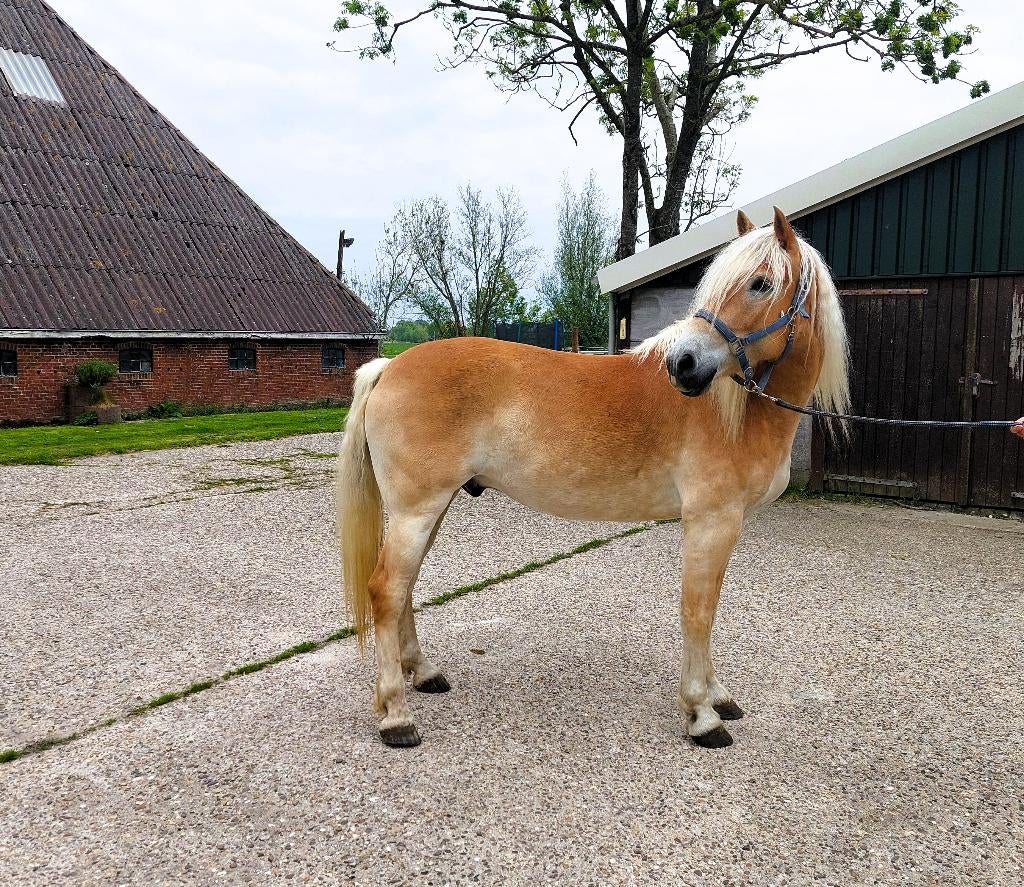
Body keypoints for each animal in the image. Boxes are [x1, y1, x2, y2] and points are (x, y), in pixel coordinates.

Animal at [336, 206, 850, 750]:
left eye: (760, 283)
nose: (683, 365)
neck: (735, 411)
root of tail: (390, 366)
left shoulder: (725, 525)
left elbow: (708, 608)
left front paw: (718, 697)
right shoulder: (711, 521)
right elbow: (698, 610)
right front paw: (702, 714)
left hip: (430, 509)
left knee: (405, 587)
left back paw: (425, 673)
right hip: (417, 510)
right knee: (387, 590)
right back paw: (396, 715)